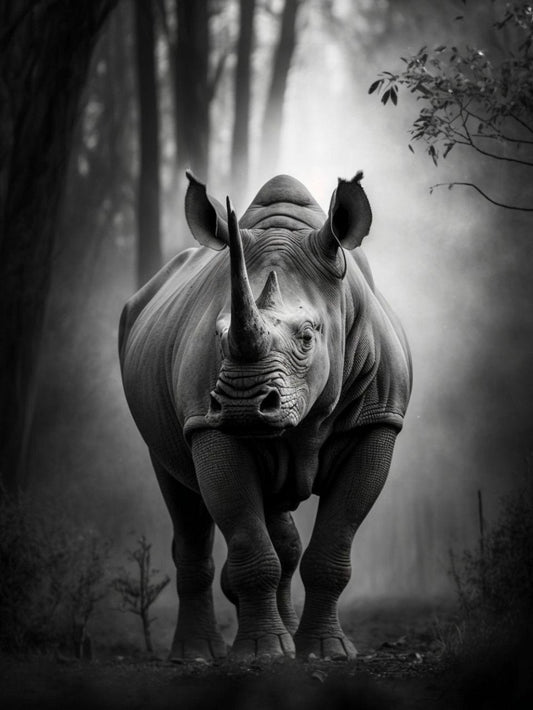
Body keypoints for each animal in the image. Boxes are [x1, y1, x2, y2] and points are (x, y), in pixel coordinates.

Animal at [119, 171, 412, 662]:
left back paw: (288, 637)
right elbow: (249, 541)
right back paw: (198, 653)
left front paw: (327, 652)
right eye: (217, 335)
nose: (241, 402)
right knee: (181, 495)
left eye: (308, 337)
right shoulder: (208, 423)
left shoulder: (377, 420)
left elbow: (334, 544)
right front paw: (262, 654)